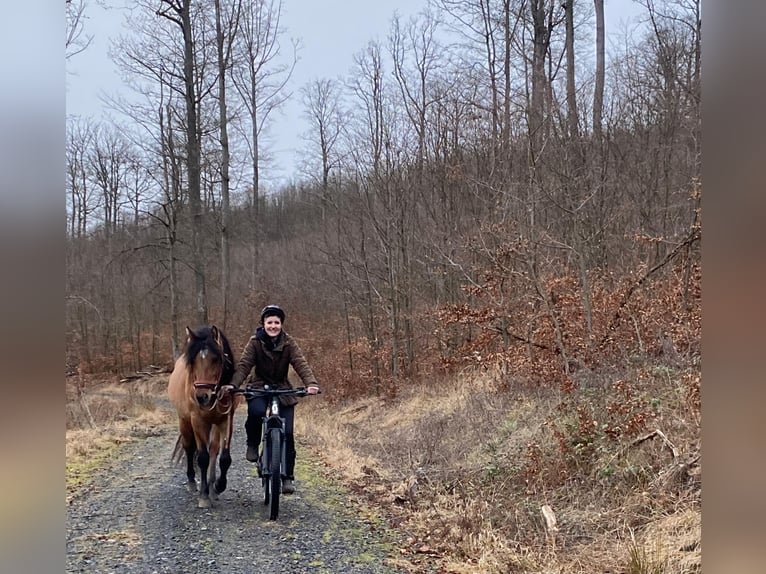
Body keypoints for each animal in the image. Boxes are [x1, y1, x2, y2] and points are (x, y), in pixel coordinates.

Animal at [167, 325, 241, 508]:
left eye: (216, 359)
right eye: (192, 362)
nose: (202, 397)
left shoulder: (226, 420)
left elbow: (224, 457)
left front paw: (219, 486)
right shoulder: (198, 421)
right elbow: (202, 457)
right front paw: (203, 496)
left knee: (213, 449)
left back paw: (212, 487)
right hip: (184, 421)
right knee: (188, 447)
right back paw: (193, 483)